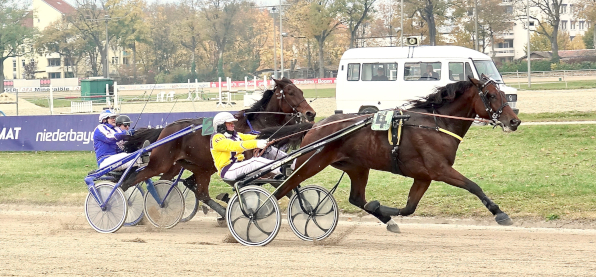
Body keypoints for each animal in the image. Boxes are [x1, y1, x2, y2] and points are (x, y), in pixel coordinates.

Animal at [122, 77, 316, 216]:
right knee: (133, 179)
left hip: (192, 167)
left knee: (187, 189)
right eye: (290, 92)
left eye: (301, 90)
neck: (258, 124)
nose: (311, 113)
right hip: (161, 162)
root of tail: (166, 129)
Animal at [268, 76, 520, 232]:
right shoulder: (440, 170)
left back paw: (386, 220)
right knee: (283, 189)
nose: (514, 121)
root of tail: (316, 126)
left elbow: (409, 208)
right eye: (490, 95)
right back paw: (263, 214)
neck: (436, 124)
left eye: (501, 93)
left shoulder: (423, 176)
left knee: (356, 198)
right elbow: (473, 186)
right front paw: (500, 214)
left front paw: (380, 208)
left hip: (357, 167)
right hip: (311, 162)